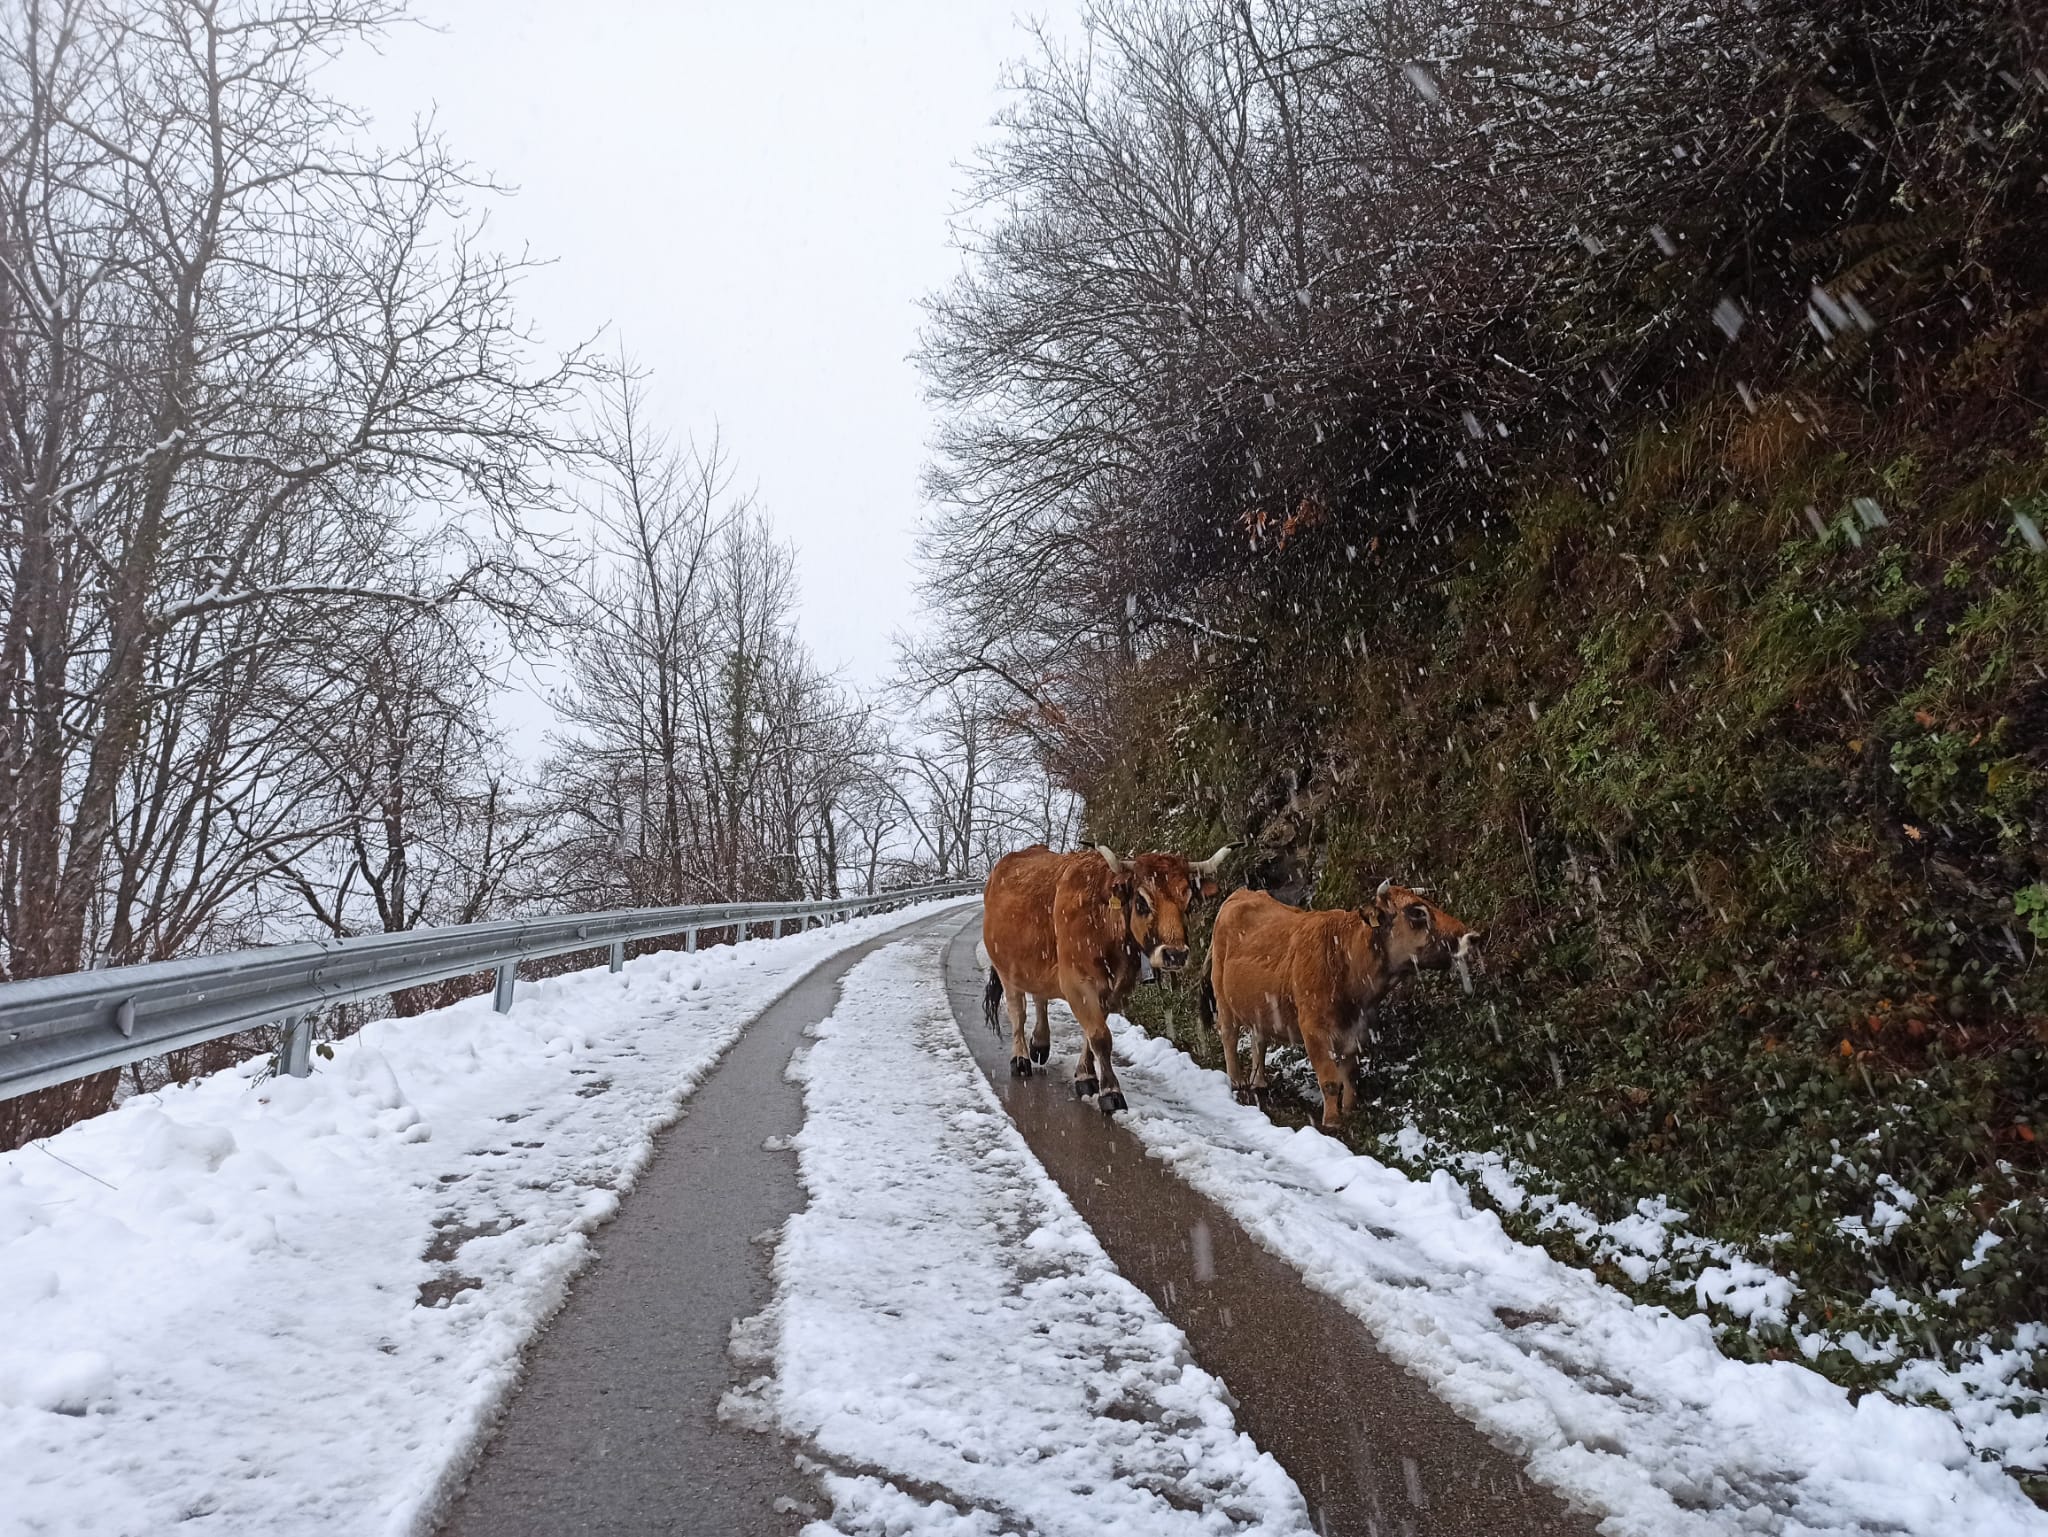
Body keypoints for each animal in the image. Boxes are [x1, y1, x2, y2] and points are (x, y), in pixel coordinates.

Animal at [978, 848, 1228, 1114]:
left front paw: (1085, 1076)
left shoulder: (1115, 989)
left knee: (1040, 998)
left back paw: (1040, 1043)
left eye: (1188, 902)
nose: (1175, 954)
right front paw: (1110, 1091)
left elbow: (1092, 1034)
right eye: (1141, 902)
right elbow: (1099, 1036)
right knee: (1018, 1012)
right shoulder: (1077, 984)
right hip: (1005, 970)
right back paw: (1021, 1059)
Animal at [1196, 877, 1482, 1131]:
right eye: (1417, 912)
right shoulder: (1314, 1030)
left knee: (1259, 1039)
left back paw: (1259, 1082)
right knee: (1229, 1036)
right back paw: (1236, 1081)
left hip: (1258, 1005)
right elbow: (1330, 1079)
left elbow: (1351, 1073)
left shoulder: (1357, 1029)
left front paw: (1349, 1109)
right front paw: (1332, 1120)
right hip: (1222, 996)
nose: (1471, 937)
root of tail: (1242, 893)